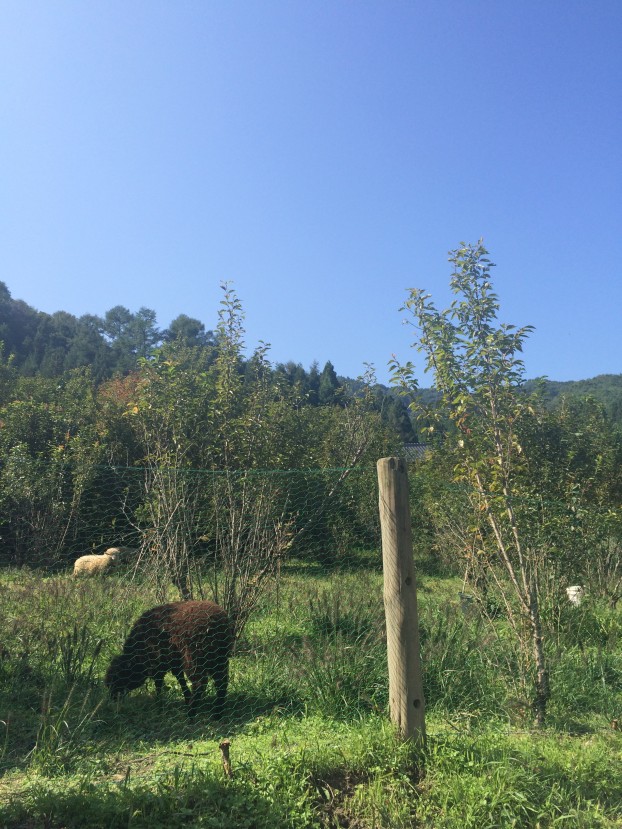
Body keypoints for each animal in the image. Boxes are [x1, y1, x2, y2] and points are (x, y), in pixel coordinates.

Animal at [105, 600, 234, 716]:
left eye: (118, 676)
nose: (112, 698)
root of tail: (219, 620)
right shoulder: (174, 660)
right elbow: (179, 678)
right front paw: (186, 698)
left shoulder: (158, 661)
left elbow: (158, 682)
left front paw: (159, 703)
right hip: (219, 657)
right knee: (222, 682)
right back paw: (217, 713)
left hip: (194, 657)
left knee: (200, 684)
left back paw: (191, 714)